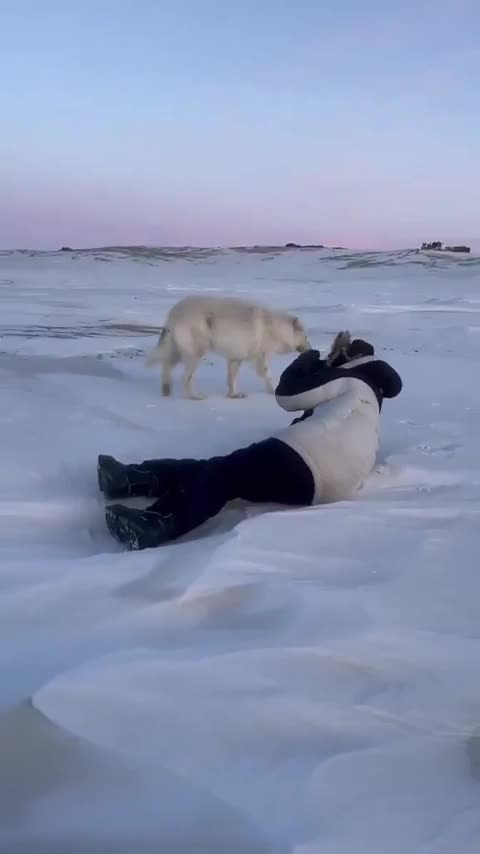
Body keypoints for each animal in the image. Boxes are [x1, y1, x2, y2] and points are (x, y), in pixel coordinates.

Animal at [145, 295, 311, 399]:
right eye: (307, 337)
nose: (310, 349)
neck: (277, 327)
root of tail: (173, 314)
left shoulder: (236, 357)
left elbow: (232, 378)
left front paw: (234, 395)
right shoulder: (261, 355)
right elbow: (267, 373)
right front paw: (274, 389)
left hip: (178, 350)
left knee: (166, 365)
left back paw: (166, 389)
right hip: (196, 351)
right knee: (185, 376)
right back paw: (194, 396)